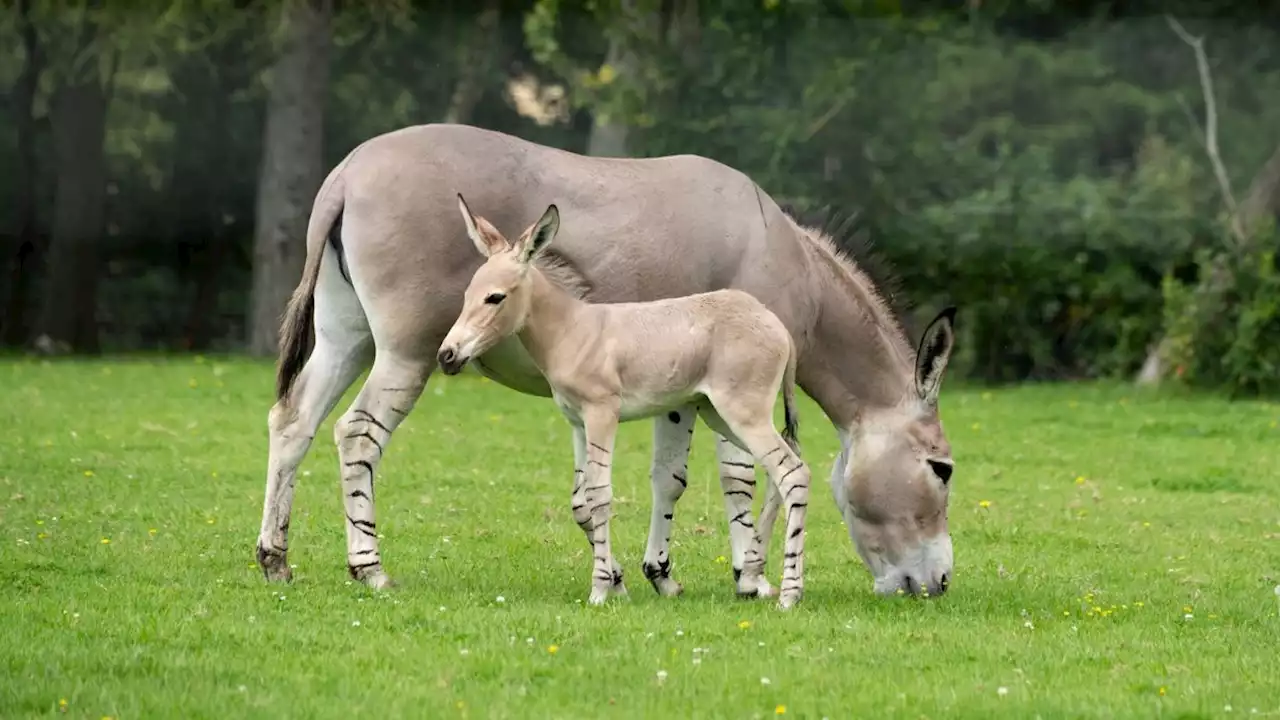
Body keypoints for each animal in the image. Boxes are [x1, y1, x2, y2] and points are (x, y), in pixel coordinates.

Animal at [440, 196, 808, 604]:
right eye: (466, 296)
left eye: (495, 297)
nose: (447, 356)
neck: (572, 330)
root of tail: (777, 325)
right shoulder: (577, 422)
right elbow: (582, 503)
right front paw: (616, 583)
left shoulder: (602, 414)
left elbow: (600, 496)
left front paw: (600, 590)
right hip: (721, 415)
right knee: (783, 471)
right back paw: (759, 577)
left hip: (744, 413)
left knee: (793, 473)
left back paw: (790, 594)